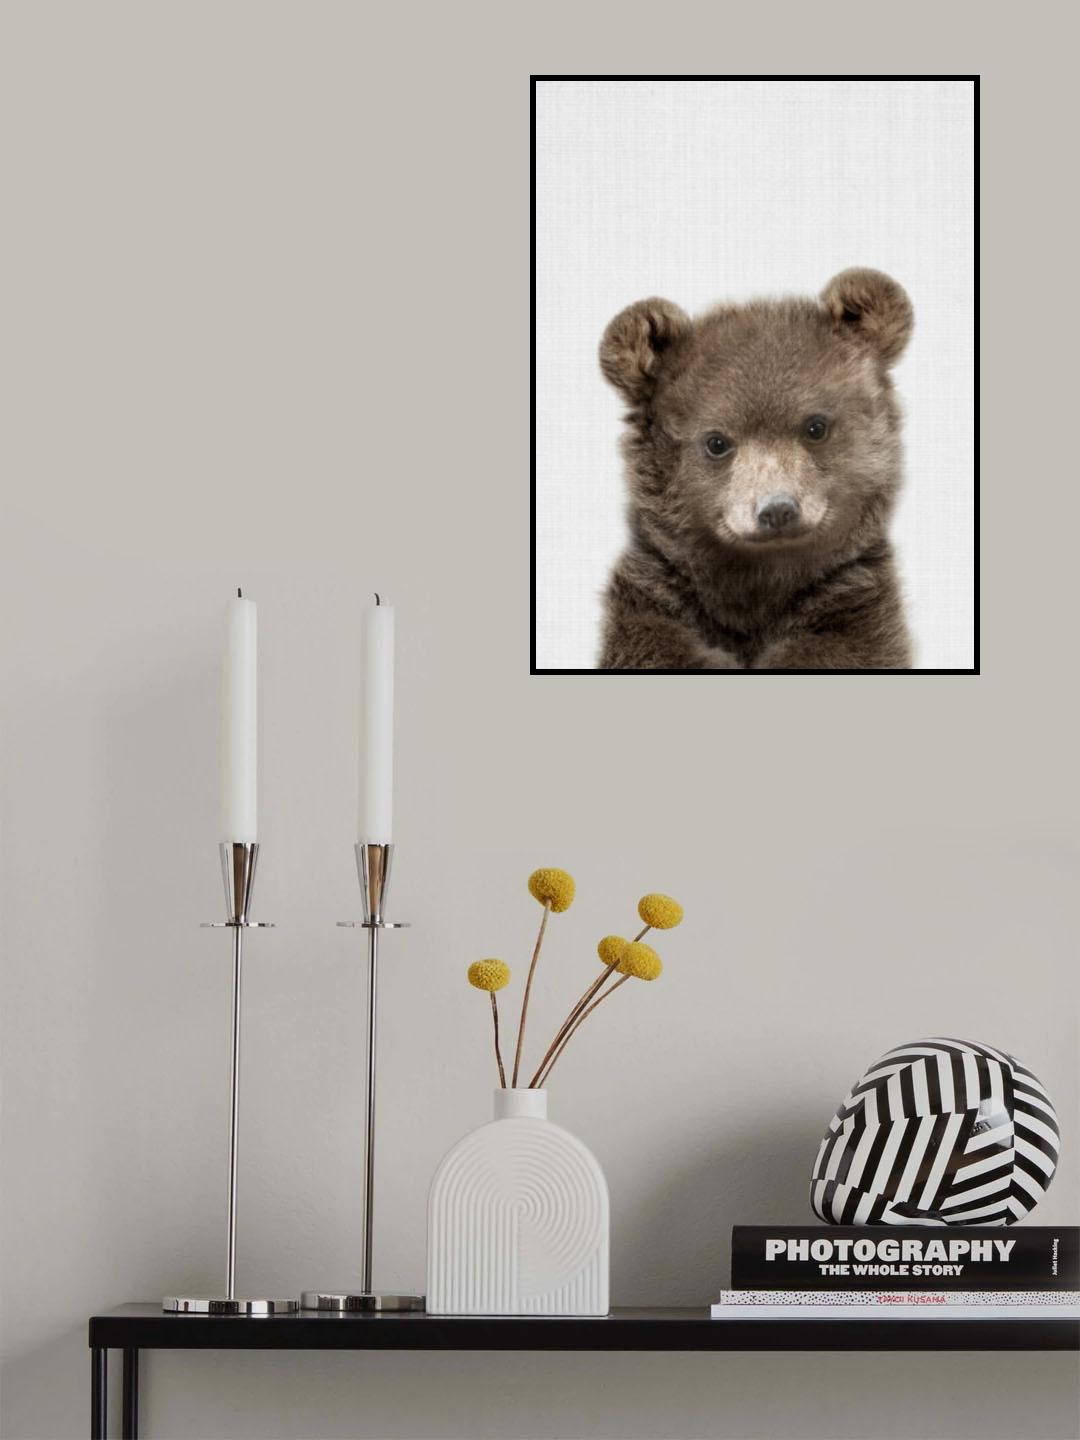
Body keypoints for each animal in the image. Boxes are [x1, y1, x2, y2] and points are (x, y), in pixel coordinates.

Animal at [598, 269, 914, 670]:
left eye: (815, 426)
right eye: (716, 442)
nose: (777, 510)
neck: (759, 583)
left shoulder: (853, 600)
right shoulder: (655, 592)